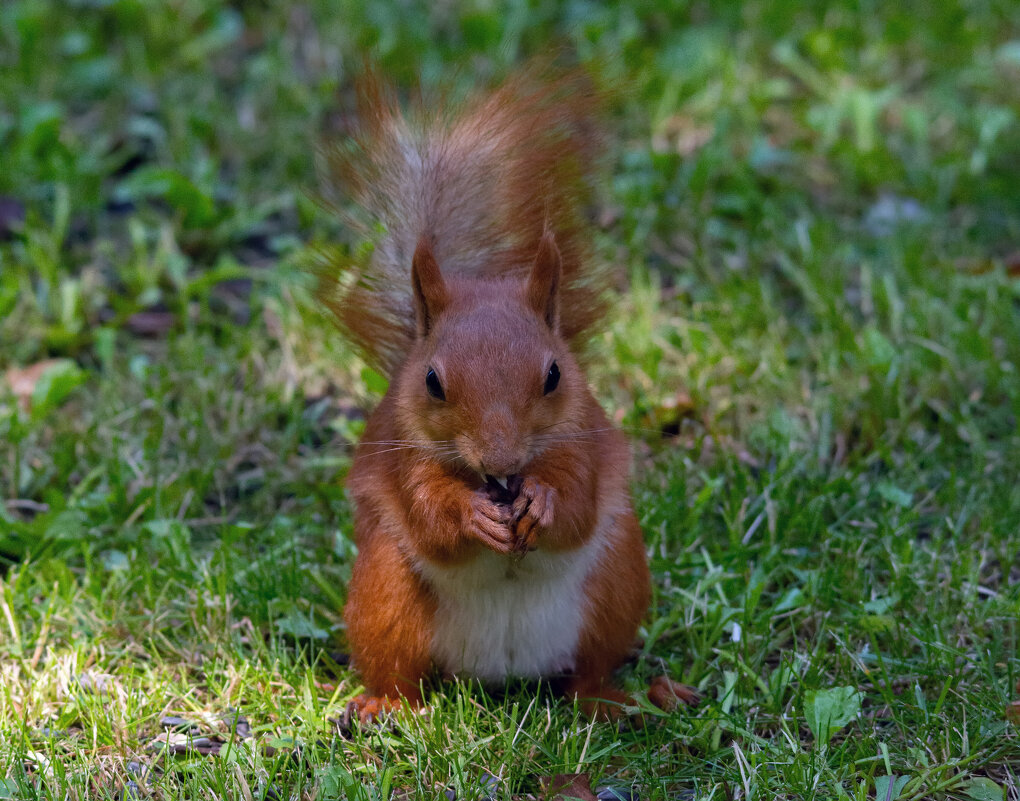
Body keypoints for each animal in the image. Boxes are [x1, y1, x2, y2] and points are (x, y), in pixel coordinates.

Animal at [322, 68, 697, 718]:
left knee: (587, 672)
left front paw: (543, 500)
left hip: (617, 581)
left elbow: (576, 501)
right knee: (399, 668)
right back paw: (385, 707)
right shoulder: (403, 456)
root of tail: (502, 673)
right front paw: (471, 513)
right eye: (432, 381)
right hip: (385, 592)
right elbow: (430, 512)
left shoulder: (583, 441)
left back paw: (622, 698)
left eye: (554, 375)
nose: (501, 462)